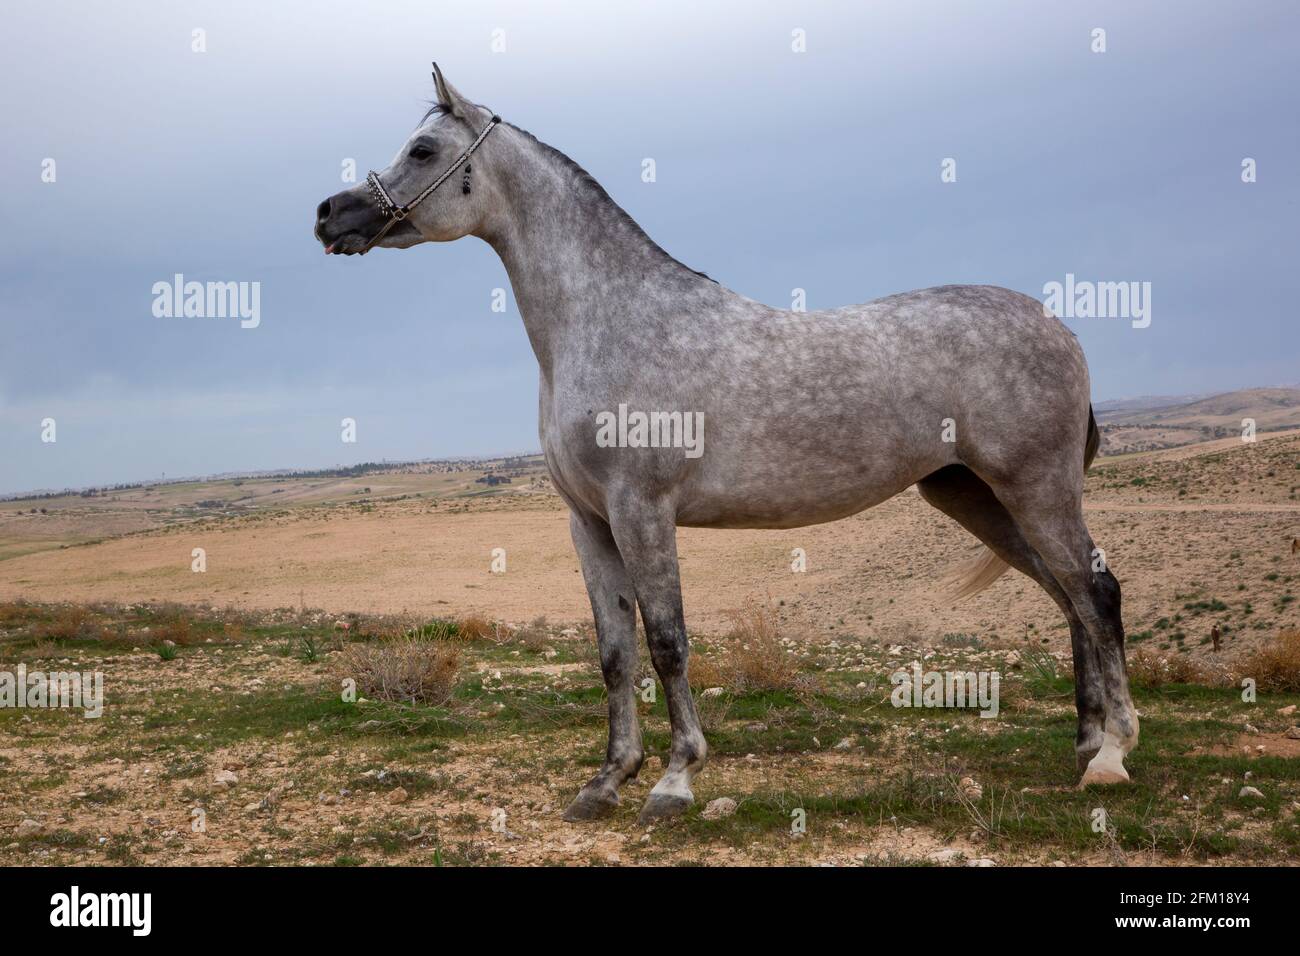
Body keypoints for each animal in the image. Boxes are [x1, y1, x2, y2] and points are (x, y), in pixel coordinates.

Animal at [314, 65, 1138, 822]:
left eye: (423, 150)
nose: (330, 215)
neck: (613, 322)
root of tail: (1059, 327)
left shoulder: (642, 511)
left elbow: (667, 641)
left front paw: (675, 780)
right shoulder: (589, 522)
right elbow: (614, 653)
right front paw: (607, 780)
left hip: (1037, 487)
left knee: (1096, 593)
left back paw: (1114, 755)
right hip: (977, 495)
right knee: (1066, 595)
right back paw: (1085, 742)